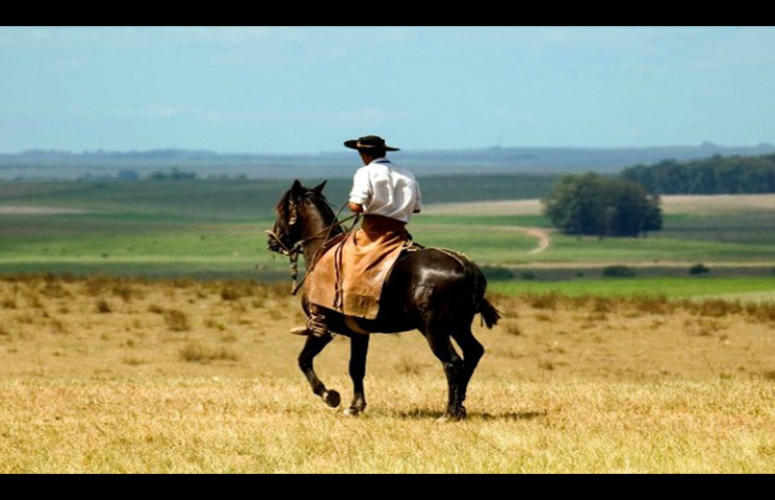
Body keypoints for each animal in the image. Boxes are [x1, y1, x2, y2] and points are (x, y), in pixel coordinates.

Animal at [268, 178, 504, 420]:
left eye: (281, 208)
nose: (272, 240)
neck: (322, 251)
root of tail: (464, 266)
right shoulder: (359, 334)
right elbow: (356, 368)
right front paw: (355, 406)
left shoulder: (322, 328)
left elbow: (304, 360)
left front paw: (329, 395)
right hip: (458, 326)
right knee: (473, 353)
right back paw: (461, 406)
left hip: (434, 329)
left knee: (452, 362)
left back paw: (449, 413)